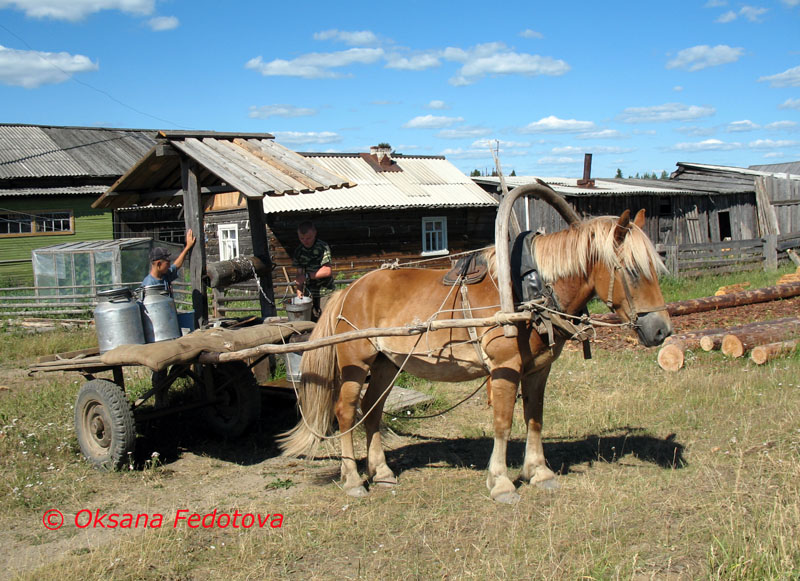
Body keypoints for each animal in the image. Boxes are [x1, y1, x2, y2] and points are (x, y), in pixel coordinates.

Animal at [278, 208, 672, 502]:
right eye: (633, 271)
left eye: (656, 268)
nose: (662, 331)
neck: (528, 290)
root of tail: (348, 291)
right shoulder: (505, 369)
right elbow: (503, 423)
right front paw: (501, 482)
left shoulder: (538, 371)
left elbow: (535, 419)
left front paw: (538, 472)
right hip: (355, 364)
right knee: (346, 412)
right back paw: (353, 480)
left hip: (387, 365)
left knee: (372, 412)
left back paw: (383, 473)